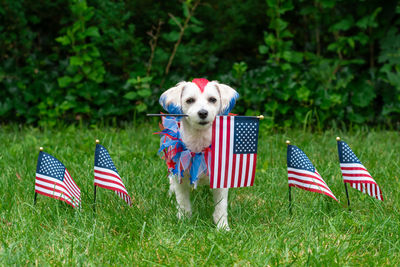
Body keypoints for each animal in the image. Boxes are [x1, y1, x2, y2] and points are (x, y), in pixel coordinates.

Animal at [159, 78, 239, 230]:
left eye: (213, 99)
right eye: (189, 100)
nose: (203, 113)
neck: (199, 143)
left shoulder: (220, 179)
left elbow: (221, 205)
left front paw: (222, 226)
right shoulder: (180, 176)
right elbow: (182, 201)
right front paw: (184, 220)